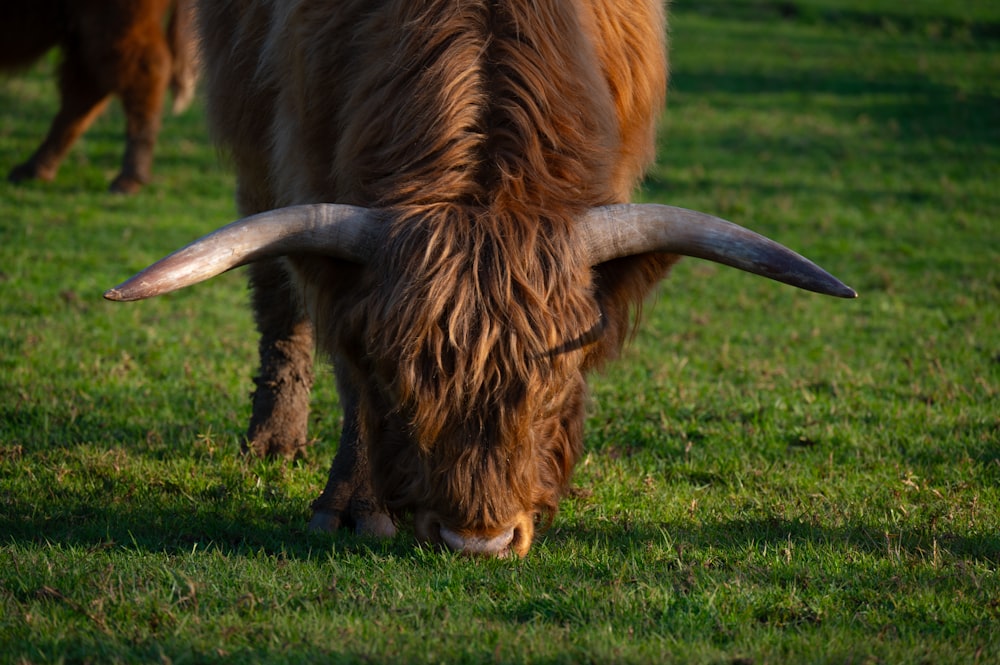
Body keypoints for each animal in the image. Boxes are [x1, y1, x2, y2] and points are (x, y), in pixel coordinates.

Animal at [0, 0, 199, 193]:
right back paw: (31, 171)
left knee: (144, 71)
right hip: (83, 34)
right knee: (84, 91)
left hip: (114, 23)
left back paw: (127, 181)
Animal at [105, 1, 852, 556]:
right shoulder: (309, 169)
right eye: (402, 386)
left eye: (556, 389)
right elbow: (346, 366)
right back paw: (273, 439)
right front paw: (351, 508)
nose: (477, 540)